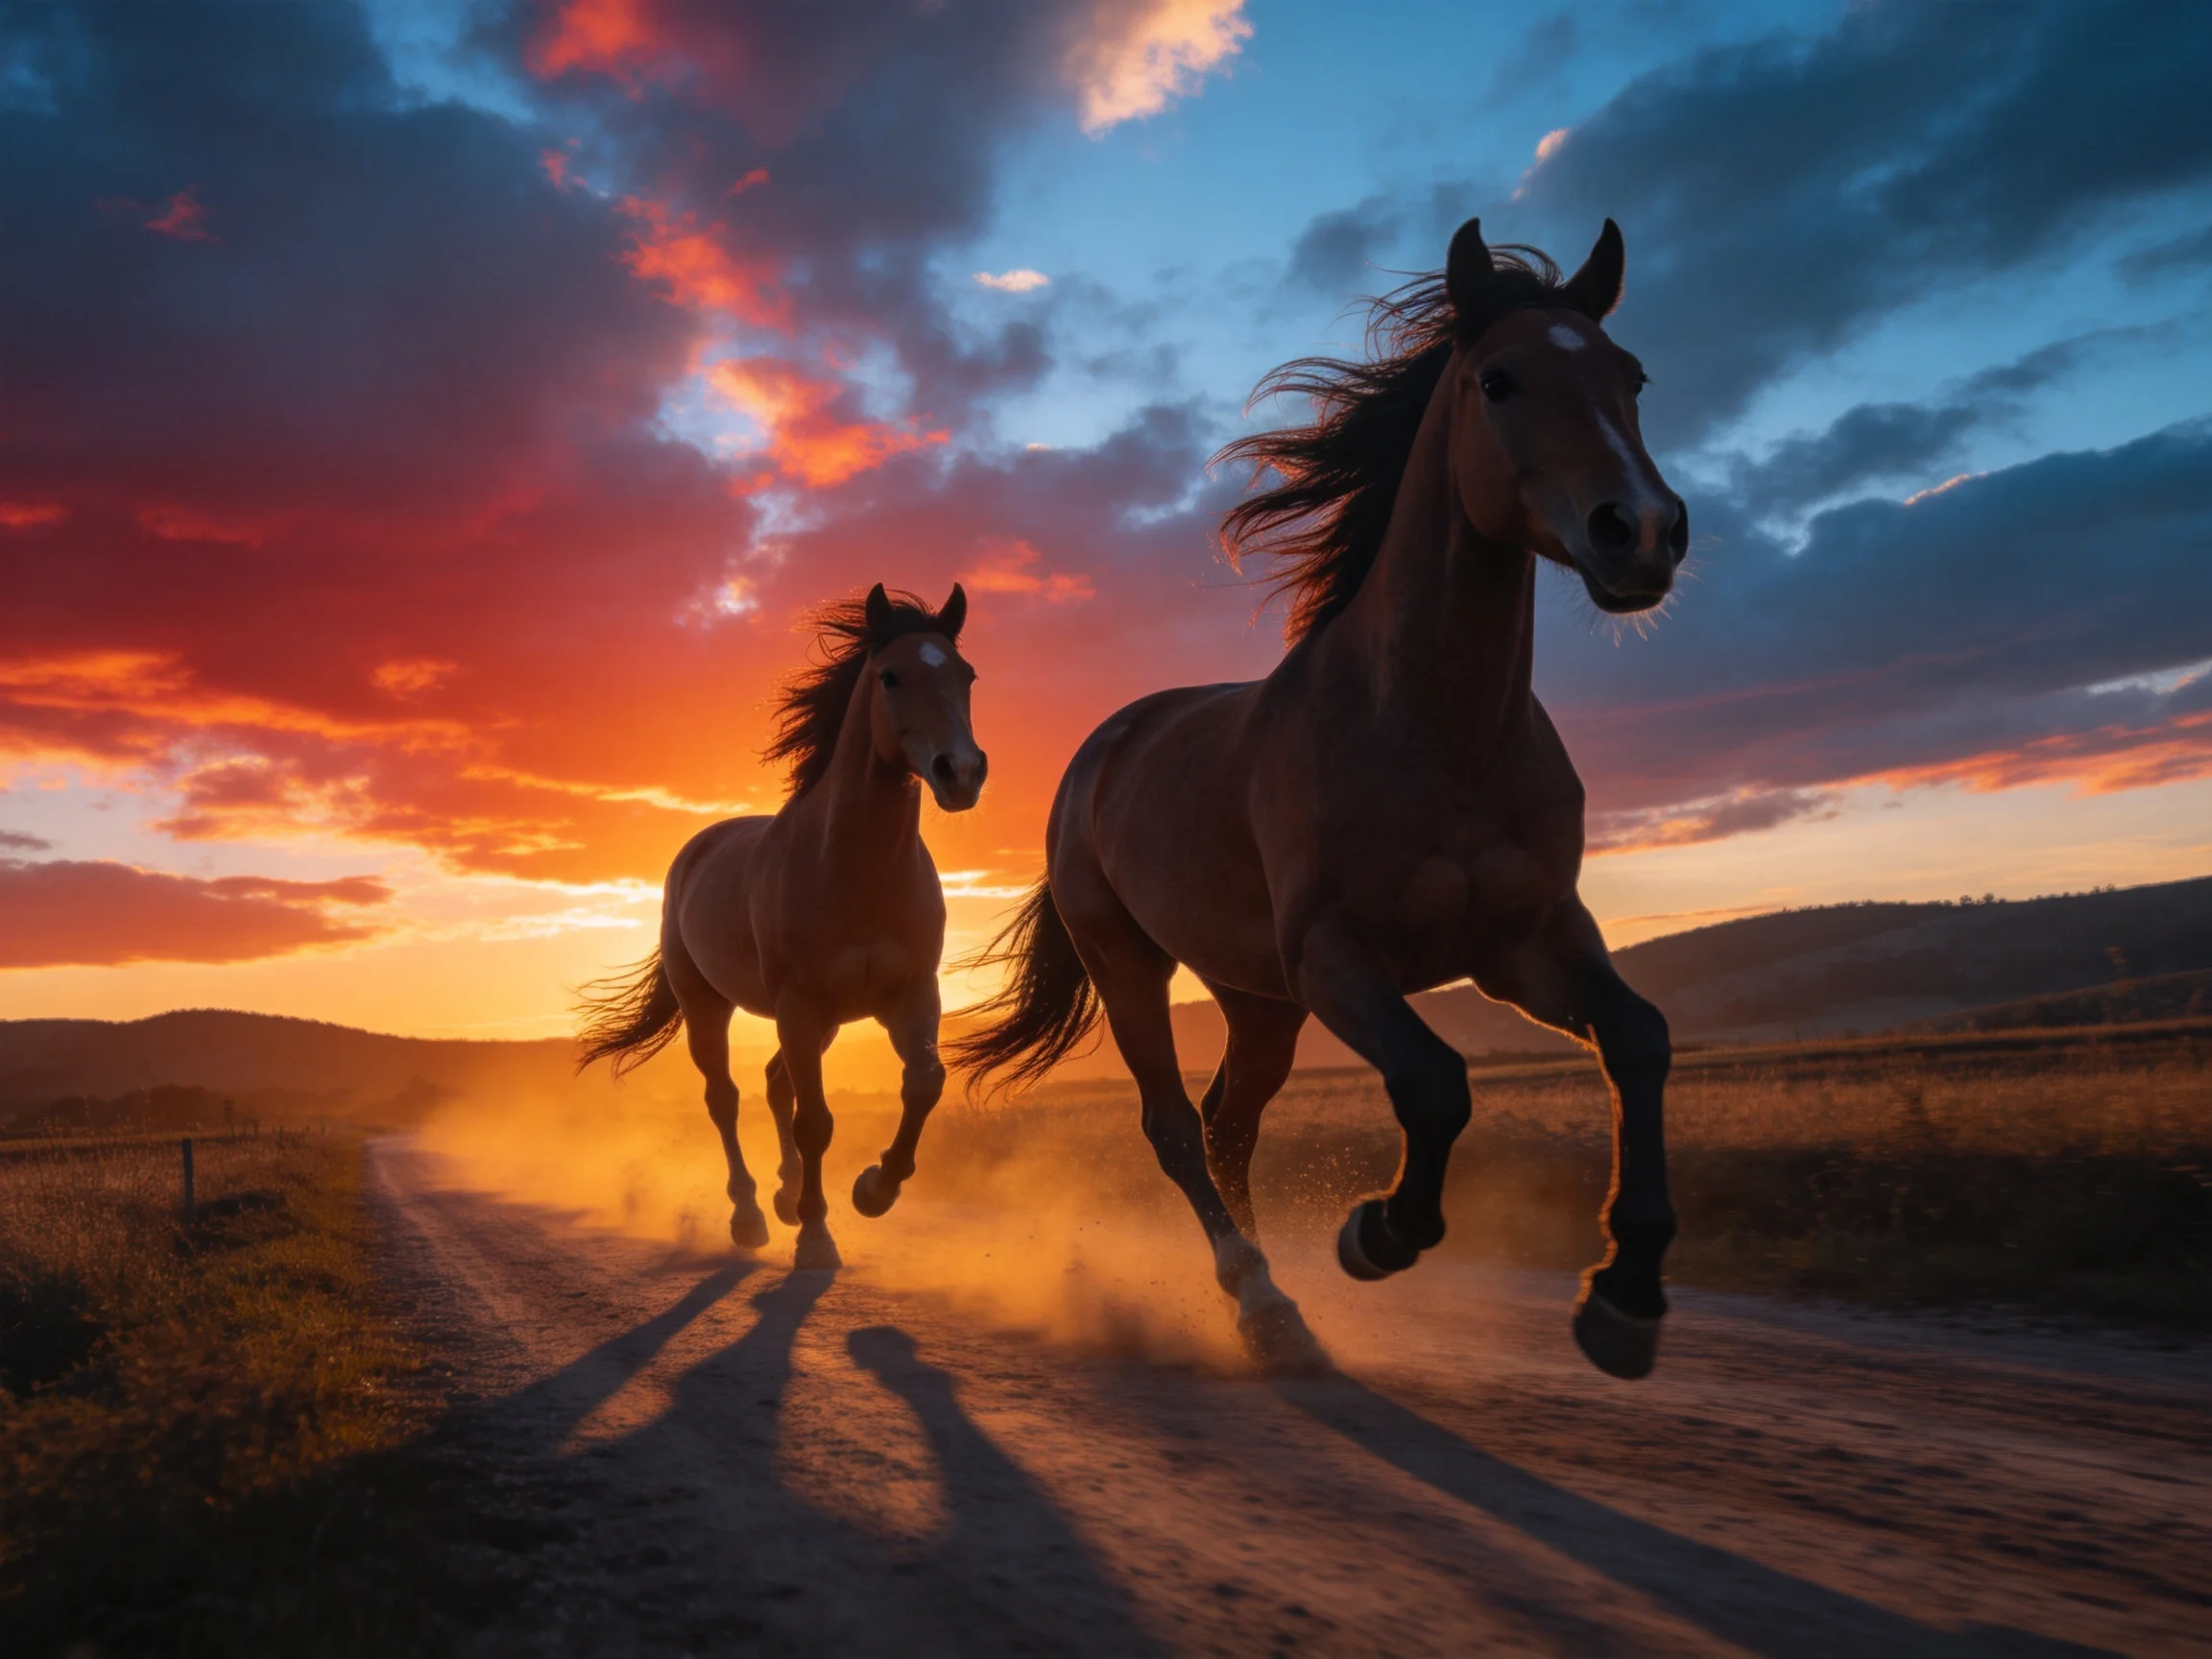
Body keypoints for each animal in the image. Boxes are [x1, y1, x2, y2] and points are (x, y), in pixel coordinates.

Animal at [578, 583, 986, 1271]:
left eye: (967, 675)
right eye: (891, 676)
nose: (961, 771)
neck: (856, 870)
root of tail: (694, 852)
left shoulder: (910, 997)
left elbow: (924, 1082)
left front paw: (873, 1189)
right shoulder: (800, 1005)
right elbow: (815, 1120)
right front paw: (817, 1236)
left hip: (822, 1024)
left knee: (774, 1084)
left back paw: (785, 1195)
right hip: (712, 1008)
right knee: (727, 1098)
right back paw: (750, 1216)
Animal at [951, 220, 1686, 1378]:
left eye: (1632, 376)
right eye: (1499, 379)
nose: (1643, 533)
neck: (1433, 735)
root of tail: (1098, 752)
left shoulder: (1528, 942)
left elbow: (1639, 1040)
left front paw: (1626, 1296)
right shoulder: (1339, 959)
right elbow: (1435, 1083)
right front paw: (1378, 1233)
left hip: (1260, 1000)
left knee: (1226, 1125)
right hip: (1137, 968)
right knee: (1174, 1127)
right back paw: (1262, 1304)